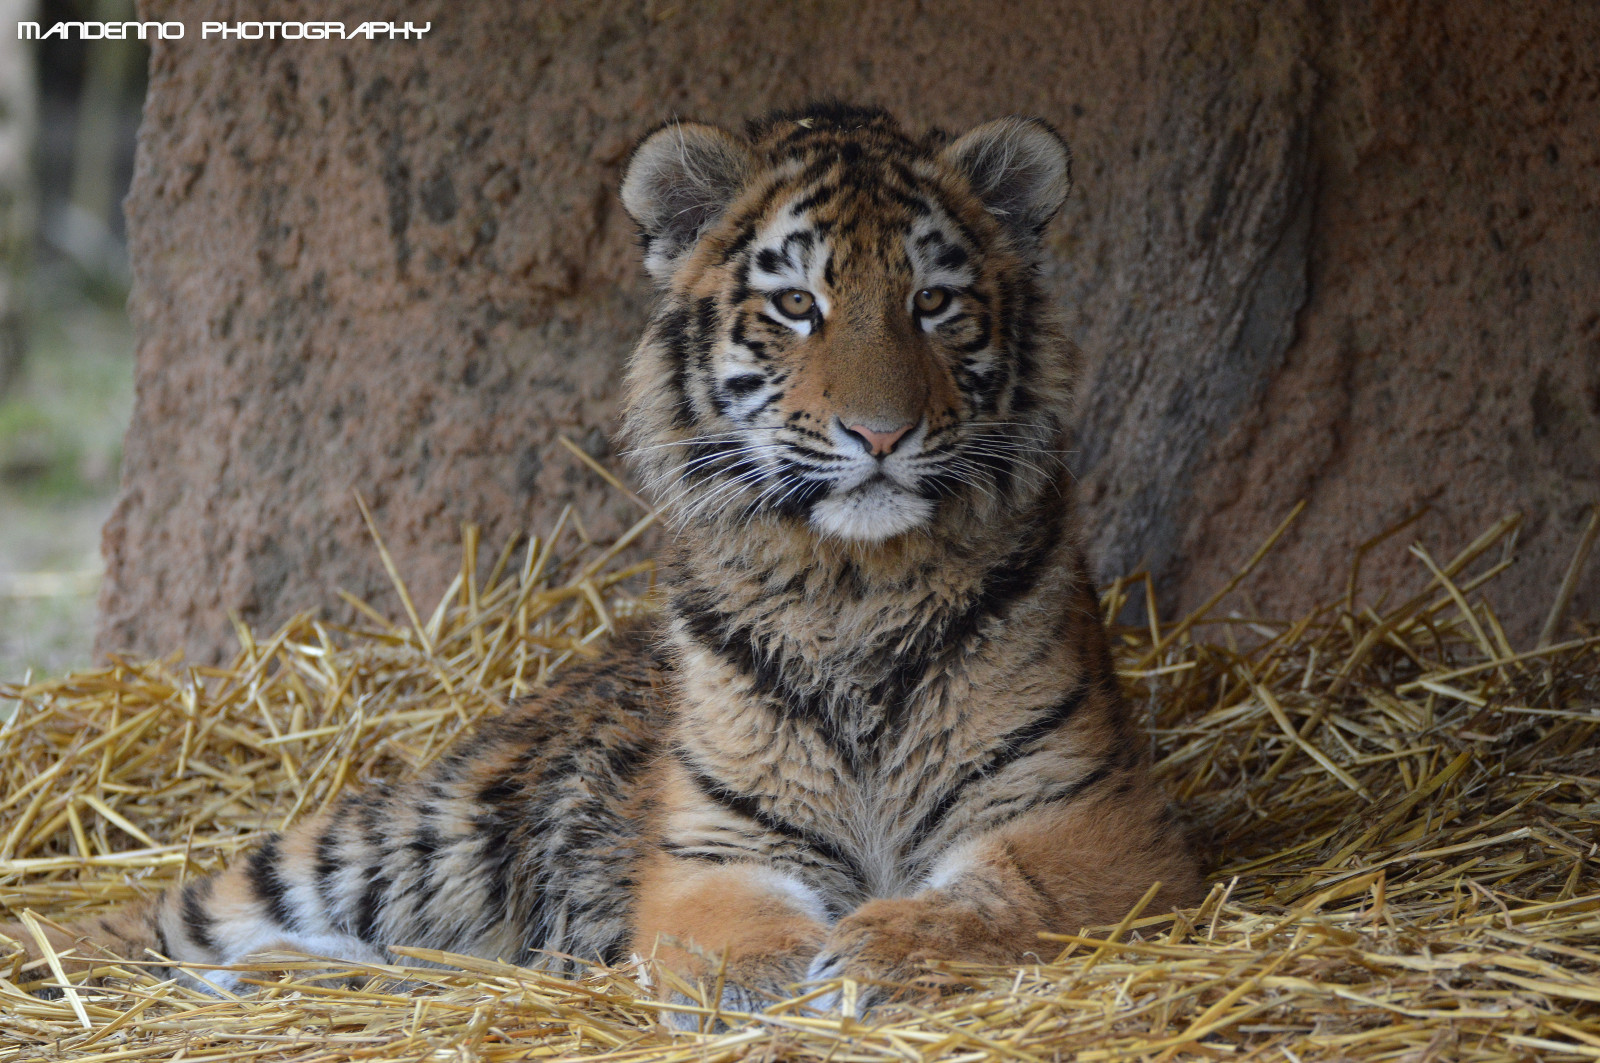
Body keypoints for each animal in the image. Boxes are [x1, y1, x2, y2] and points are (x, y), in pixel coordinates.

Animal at [2, 103, 1200, 1026]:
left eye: (934, 302)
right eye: (796, 304)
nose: (879, 433)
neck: (850, 588)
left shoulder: (1083, 818)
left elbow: (995, 899)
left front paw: (876, 951)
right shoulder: (711, 847)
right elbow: (726, 932)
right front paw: (764, 984)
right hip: (407, 833)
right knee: (158, 921)